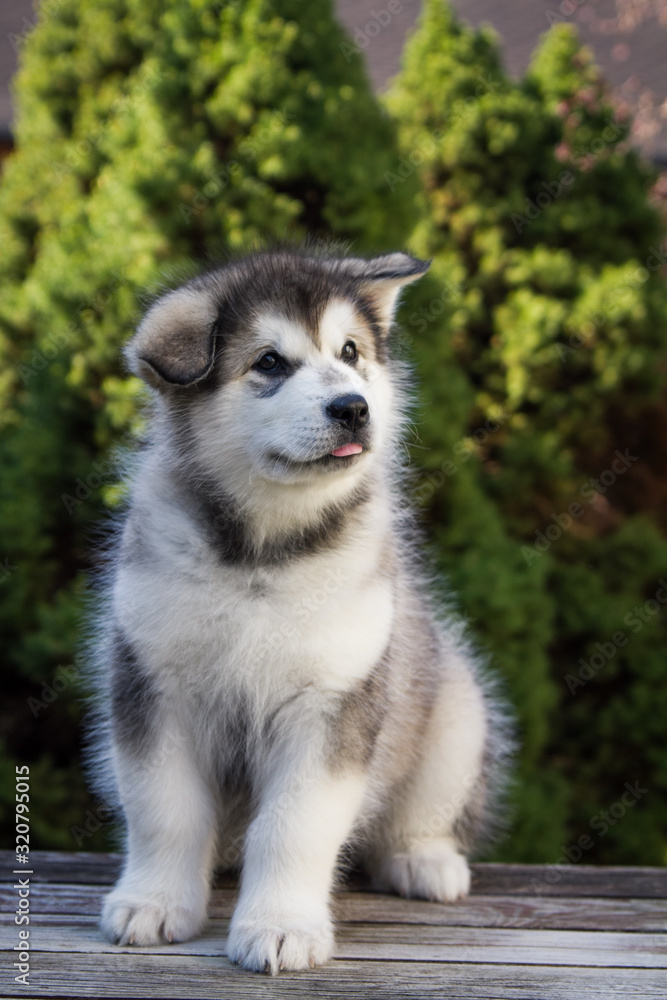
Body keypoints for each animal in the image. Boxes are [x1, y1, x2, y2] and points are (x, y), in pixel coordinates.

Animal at [90, 246, 512, 972]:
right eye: (268, 362)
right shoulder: (153, 685)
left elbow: (296, 825)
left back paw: (423, 860)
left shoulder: (333, 700)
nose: (353, 407)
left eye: (349, 352)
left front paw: (281, 925)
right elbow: (163, 810)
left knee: (418, 813)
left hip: (456, 709)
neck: (263, 557)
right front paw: (153, 902)